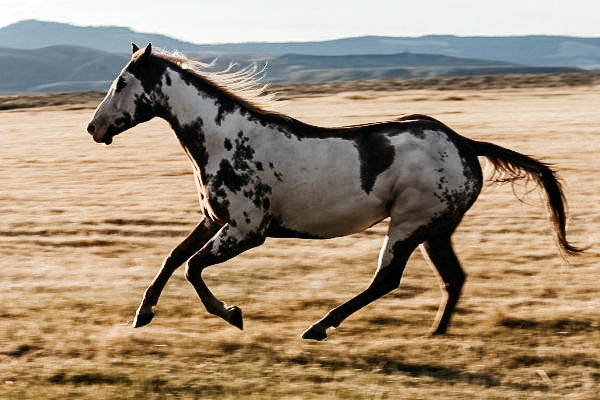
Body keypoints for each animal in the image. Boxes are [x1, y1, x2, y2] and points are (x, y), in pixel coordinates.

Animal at [85, 42, 580, 340]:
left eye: (122, 82)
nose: (93, 127)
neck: (225, 139)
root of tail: (464, 144)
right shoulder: (214, 219)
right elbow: (173, 258)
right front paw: (142, 315)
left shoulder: (247, 230)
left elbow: (193, 269)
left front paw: (233, 314)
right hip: (437, 229)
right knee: (452, 278)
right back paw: (435, 334)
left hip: (409, 224)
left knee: (386, 279)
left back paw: (319, 327)